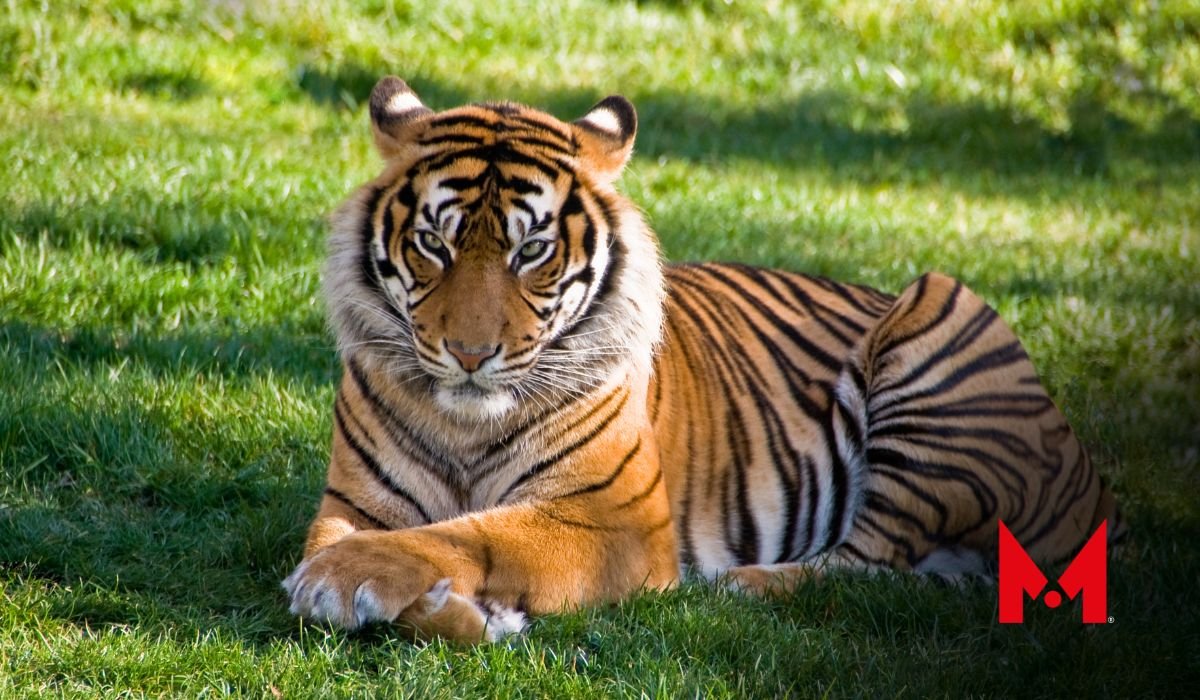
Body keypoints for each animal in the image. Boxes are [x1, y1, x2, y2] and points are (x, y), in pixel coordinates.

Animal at [282, 76, 1121, 642]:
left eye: (532, 252)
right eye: (434, 243)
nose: (468, 354)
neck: (466, 423)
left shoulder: (613, 520)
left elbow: (471, 533)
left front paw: (344, 581)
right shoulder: (354, 502)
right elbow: (373, 539)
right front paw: (451, 610)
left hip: (938, 316)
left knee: (866, 560)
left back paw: (742, 585)